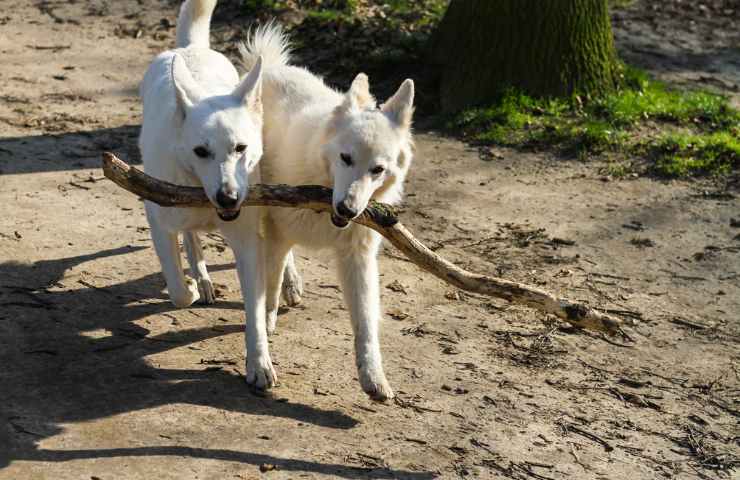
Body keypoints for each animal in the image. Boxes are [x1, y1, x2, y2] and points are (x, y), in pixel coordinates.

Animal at [140, 0, 276, 390]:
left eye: (240, 148)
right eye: (201, 151)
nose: (228, 198)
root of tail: (190, 48)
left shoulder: (247, 240)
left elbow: (255, 311)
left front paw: (258, 363)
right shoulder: (157, 219)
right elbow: (177, 289)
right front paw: (191, 286)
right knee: (189, 238)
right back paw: (200, 278)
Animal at [243, 27, 416, 402]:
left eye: (377, 169)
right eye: (345, 158)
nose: (347, 209)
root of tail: (274, 69)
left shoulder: (358, 258)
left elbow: (366, 324)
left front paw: (373, 376)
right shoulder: (277, 230)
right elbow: (269, 282)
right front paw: (266, 326)